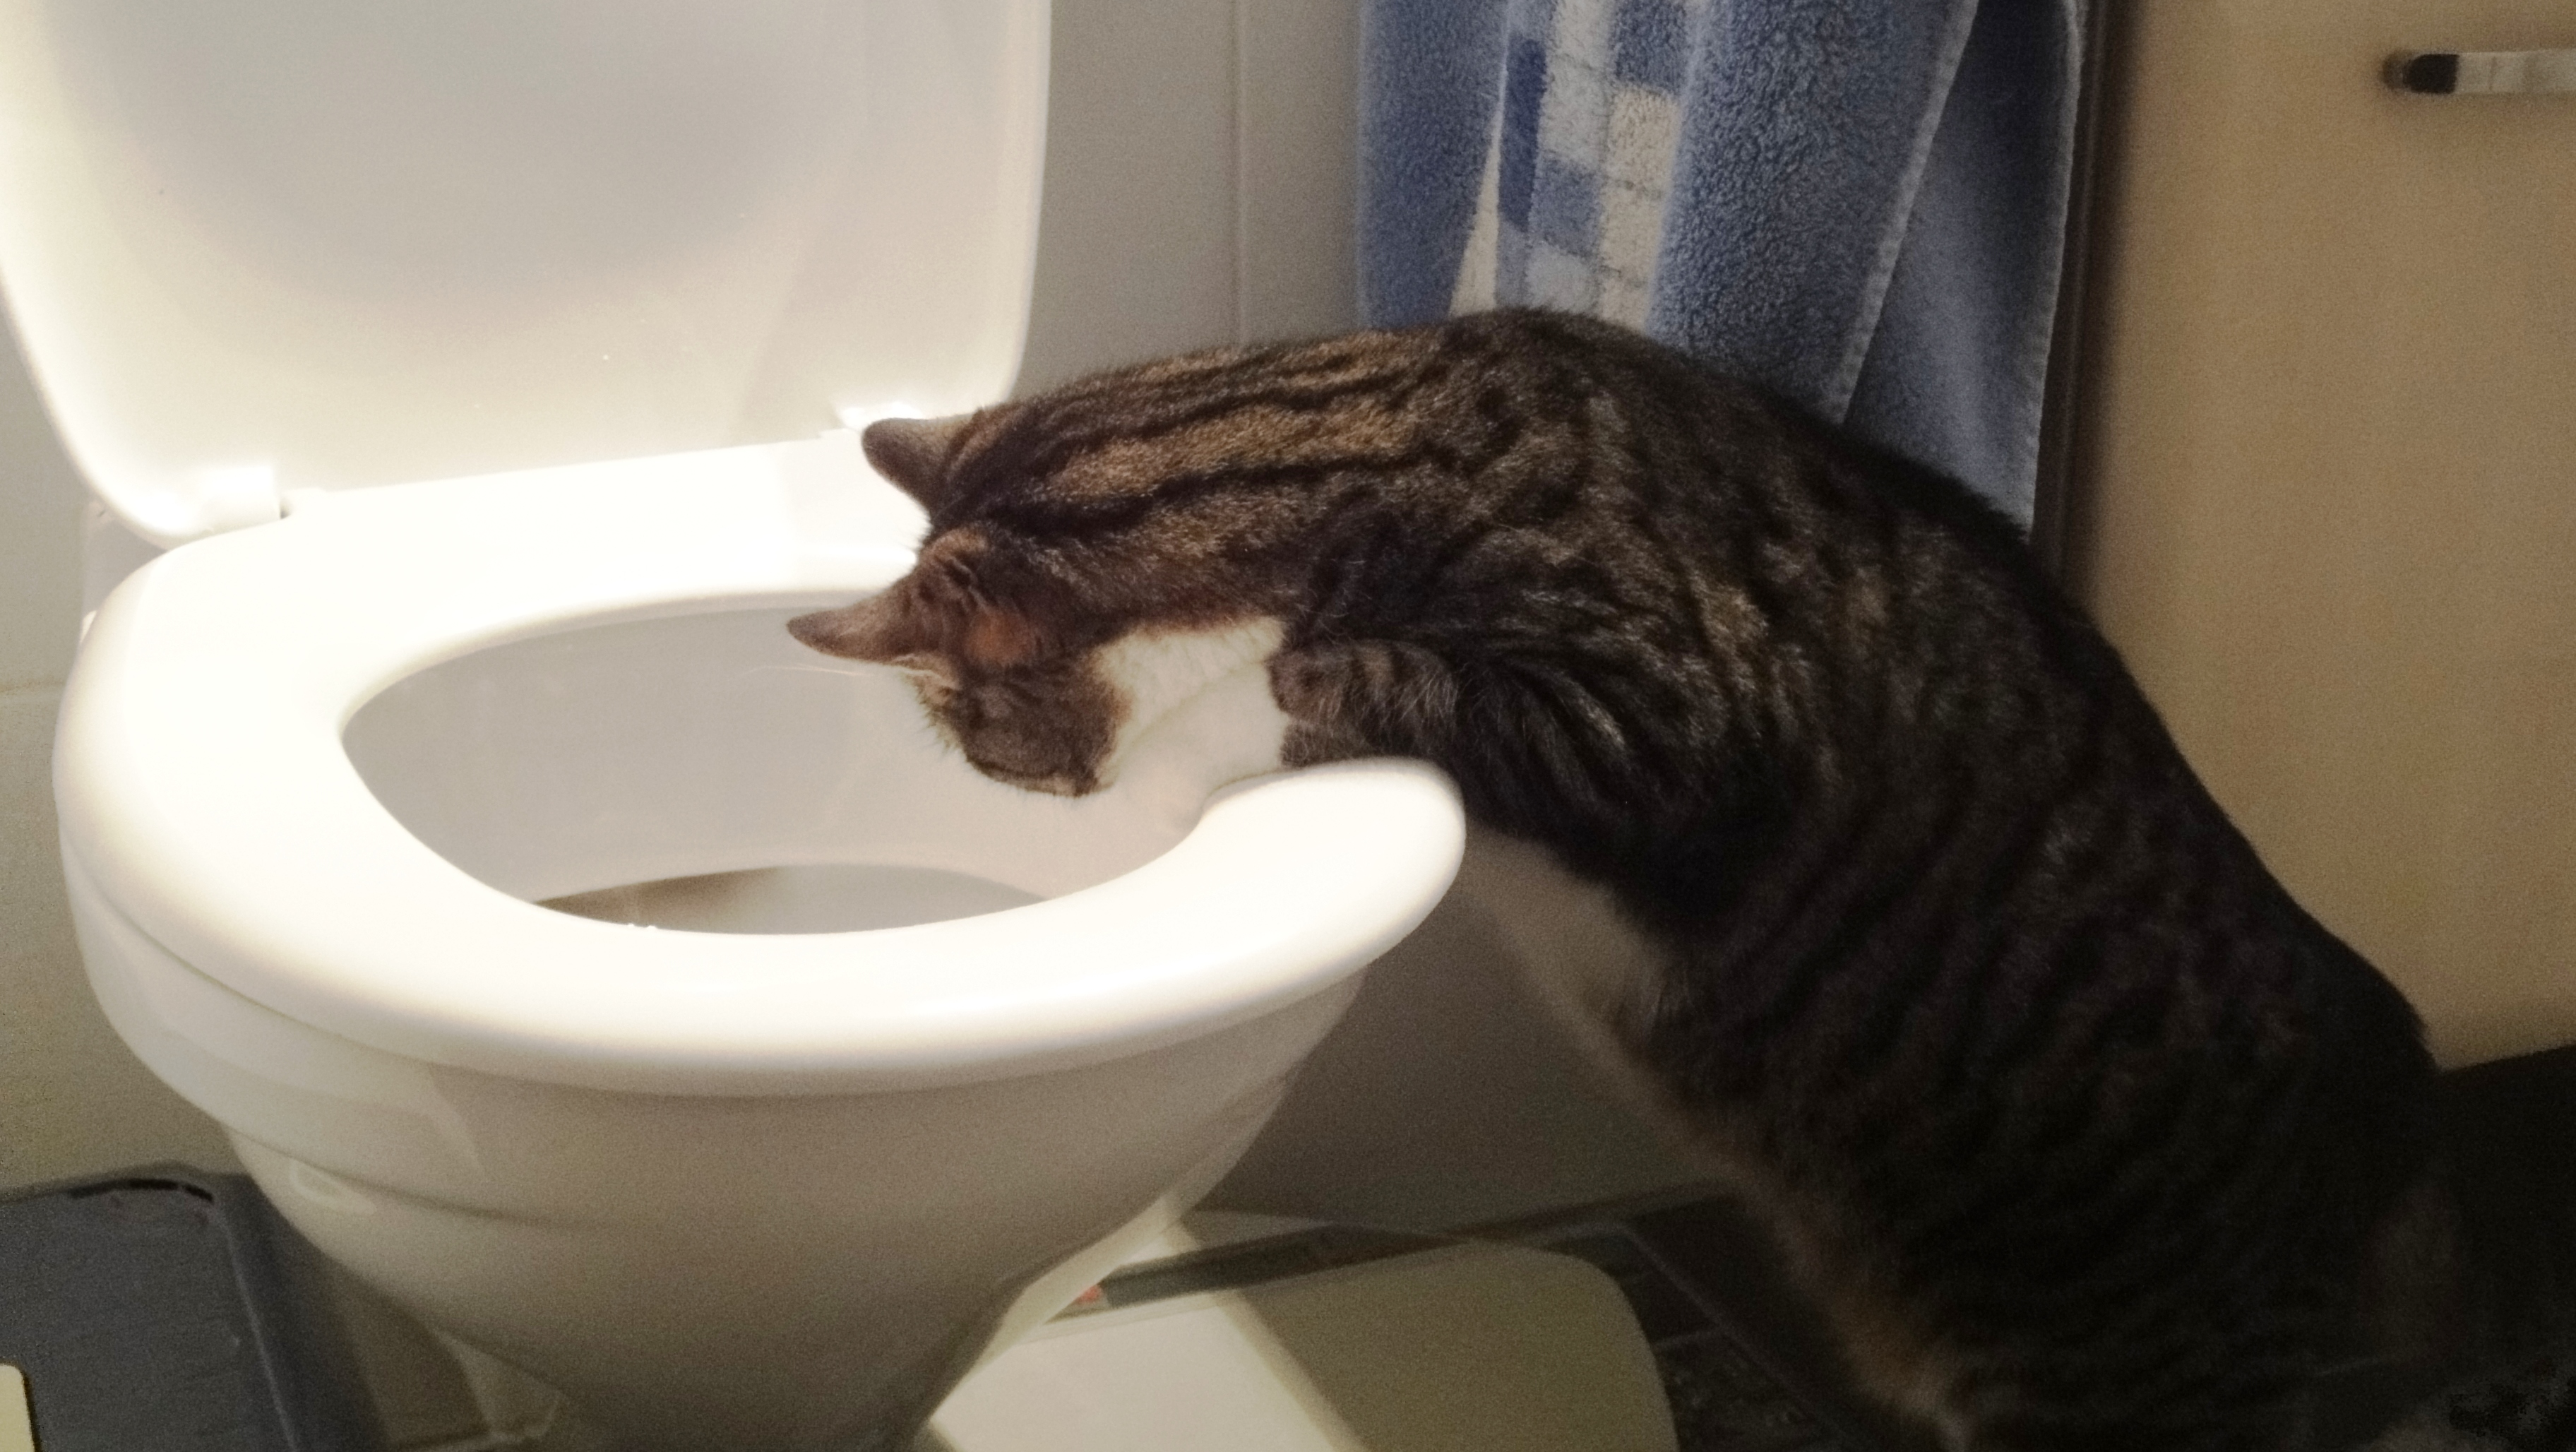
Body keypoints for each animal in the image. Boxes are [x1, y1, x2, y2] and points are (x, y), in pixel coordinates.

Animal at [787, 309, 2561, 1450]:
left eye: (977, 739)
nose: (1024, 789)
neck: (1376, 430)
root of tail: (2401, 1099)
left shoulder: (1669, 730)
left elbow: (1349, 672)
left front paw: (1266, 697)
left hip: (2119, 1377)